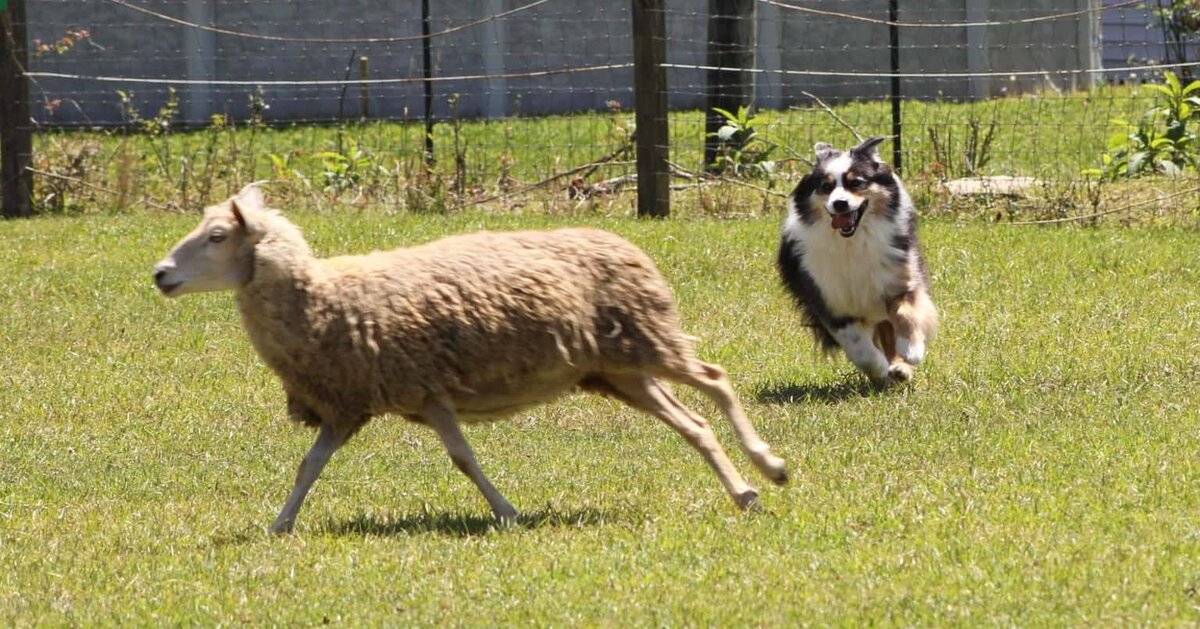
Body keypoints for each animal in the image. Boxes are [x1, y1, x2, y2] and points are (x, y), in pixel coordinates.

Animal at [152, 184, 787, 532]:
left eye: (215, 237)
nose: (159, 274)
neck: (324, 298)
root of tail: (627, 244)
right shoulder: (350, 405)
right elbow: (308, 466)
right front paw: (280, 525)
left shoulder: (424, 390)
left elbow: (462, 460)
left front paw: (507, 513)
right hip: (619, 369)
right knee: (694, 422)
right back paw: (744, 493)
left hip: (647, 340)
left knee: (716, 380)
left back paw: (770, 466)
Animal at [777, 136, 936, 384]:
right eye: (826, 187)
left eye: (857, 183)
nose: (840, 203)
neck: (853, 241)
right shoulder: (828, 300)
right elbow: (859, 348)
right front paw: (878, 368)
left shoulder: (900, 280)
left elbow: (905, 313)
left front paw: (912, 350)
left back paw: (901, 367)